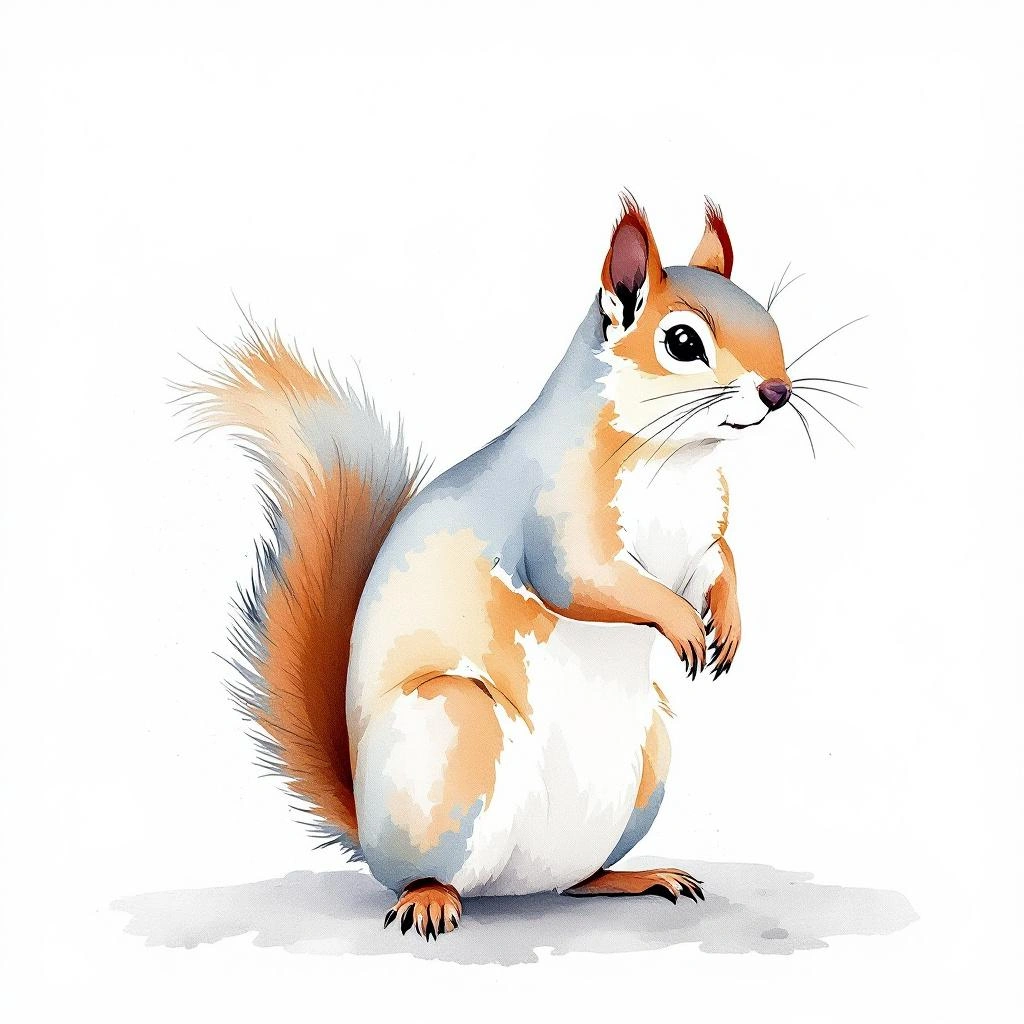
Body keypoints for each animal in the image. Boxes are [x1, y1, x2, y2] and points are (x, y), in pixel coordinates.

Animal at [184, 196, 795, 941]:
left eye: (770, 319)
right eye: (682, 342)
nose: (779, 391)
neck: (674, 460)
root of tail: (513, 887)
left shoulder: (699, 537)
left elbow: (719, 564)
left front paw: (727, 624)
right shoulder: (558, 518)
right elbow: (588, 581)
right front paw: (680, 623)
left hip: (648, 758)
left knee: (578, 878)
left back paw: (634, 877)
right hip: (454, 726)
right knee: (429, 872)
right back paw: (428, 898)